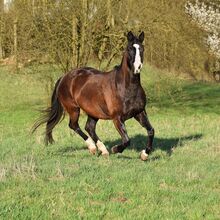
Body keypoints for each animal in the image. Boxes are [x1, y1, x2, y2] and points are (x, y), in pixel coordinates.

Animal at [32, 31, 155, 161]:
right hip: (73, 109)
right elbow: (126, 140)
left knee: (89, 127)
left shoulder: (139, 113)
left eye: (142, 48)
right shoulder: (117, 118)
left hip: (93, 111)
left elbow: (151, 131)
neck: (126, 87)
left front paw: (144, 154)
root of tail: (64, 77)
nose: (137, 68)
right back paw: (93, 148)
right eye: (129, 48)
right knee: (74, 125)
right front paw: (115, 149)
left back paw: (103, 150)